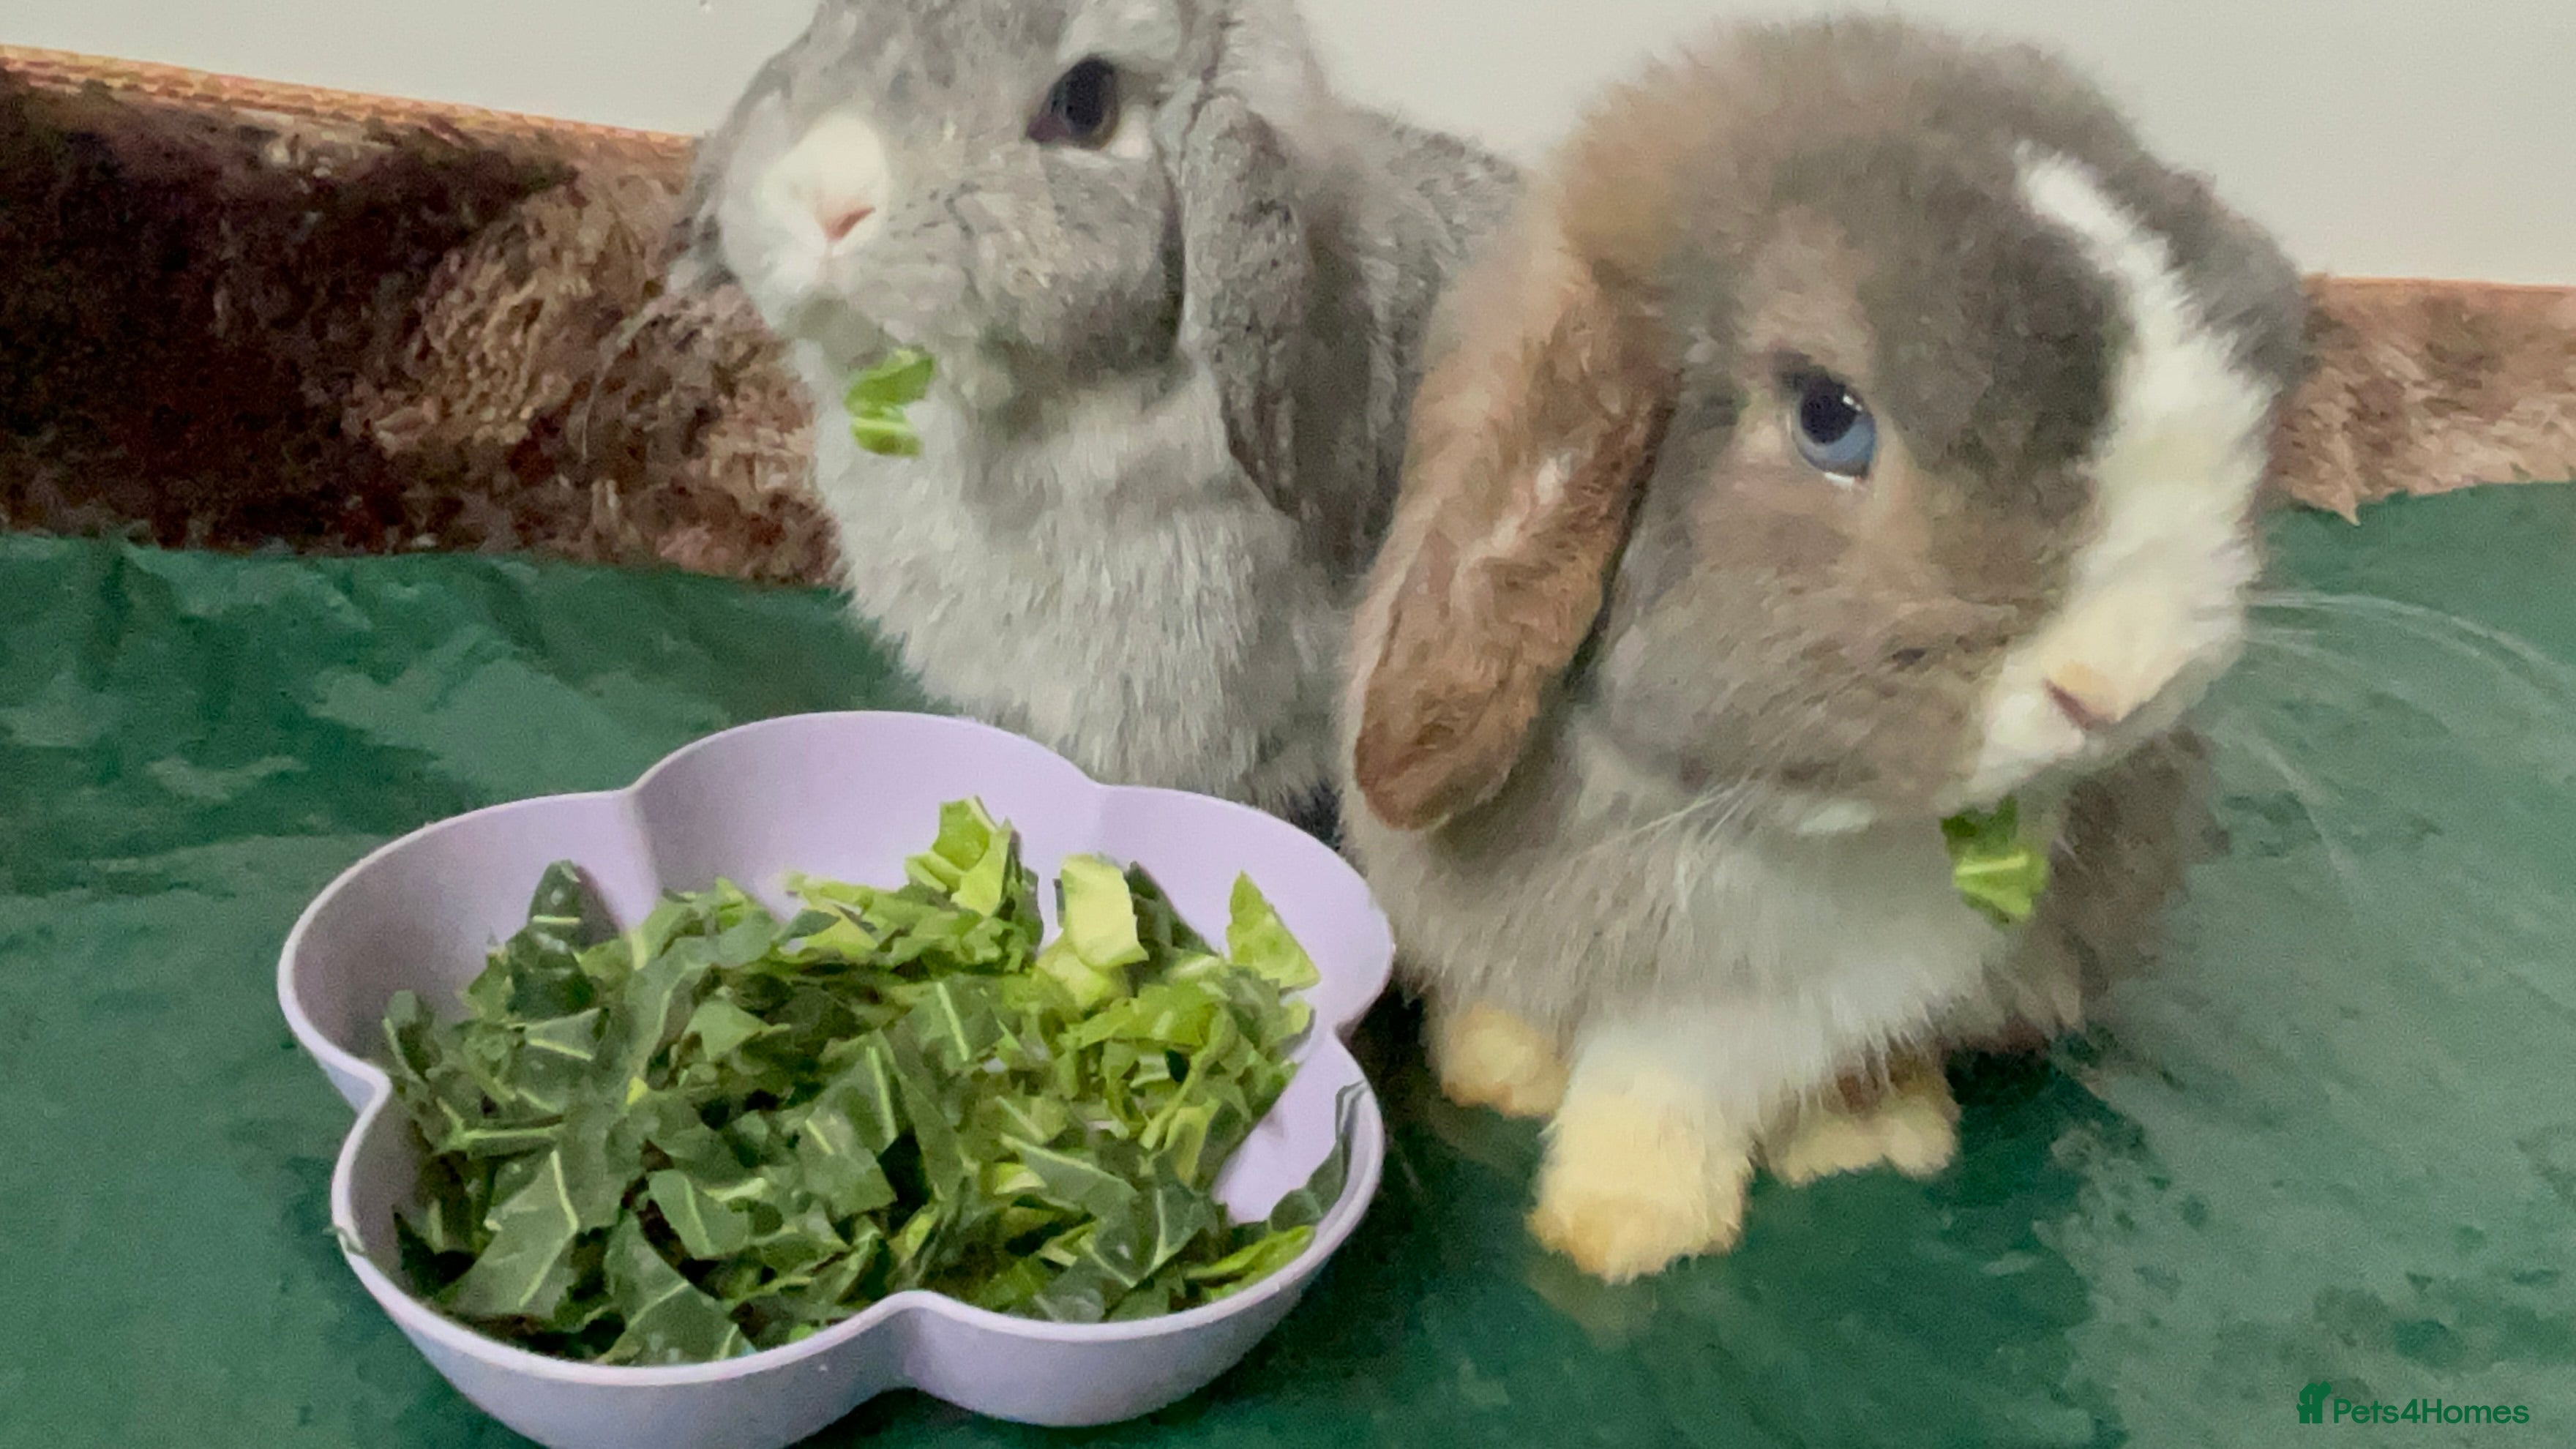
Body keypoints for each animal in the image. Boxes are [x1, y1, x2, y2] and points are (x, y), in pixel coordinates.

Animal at [1339, 16, 2309, 1282]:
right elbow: (1503, 1010)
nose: (2120, 688)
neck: (1697, 812)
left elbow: (1669, 1085)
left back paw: (1876, 1131)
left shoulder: (1798, 1002)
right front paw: (1496, 1074)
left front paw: (1620, 1226)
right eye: (1828, 418)